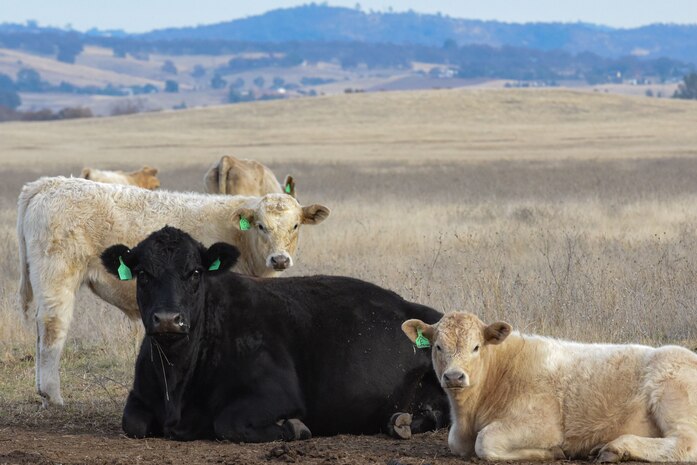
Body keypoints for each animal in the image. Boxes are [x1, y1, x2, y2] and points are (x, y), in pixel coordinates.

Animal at [17, 176, 329, 407]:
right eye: (262, 226)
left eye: (295, 225)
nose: (280, 260)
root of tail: (49, 183)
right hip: (57, 277)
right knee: (52, 328)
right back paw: (53, 396)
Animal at [100, 226, 448, 442]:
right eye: (142, 273)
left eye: (195, 272)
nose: (168, 319)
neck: (176, 380)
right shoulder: (140, 396)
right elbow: (133, 422)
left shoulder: (275, 392)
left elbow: (228, 422)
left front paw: (294, 428)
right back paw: (399, 421)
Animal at [402, 312, 697, 462]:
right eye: (438, 347)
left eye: (476, 347)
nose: (454, 377)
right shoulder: (458, 434)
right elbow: (456, 443)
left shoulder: (543, 424)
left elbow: (486, 441)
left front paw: (553, 452)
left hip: (673, 393)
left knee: (686, 443)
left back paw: (615, 448)